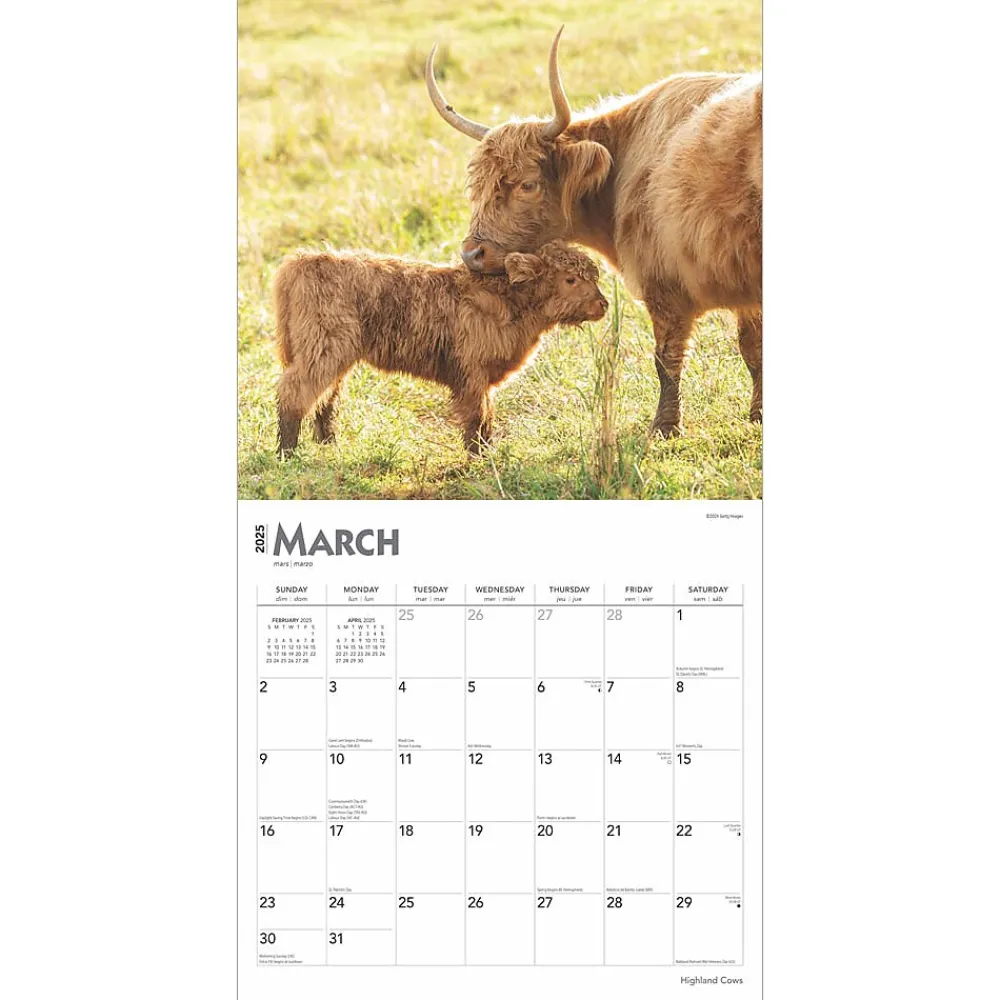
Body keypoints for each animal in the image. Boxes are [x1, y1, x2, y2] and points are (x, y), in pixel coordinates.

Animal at [426, 27, 762, 436]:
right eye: (478, 186)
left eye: (527, 185)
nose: (472, 254)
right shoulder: (745, 288)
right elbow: (755, 351)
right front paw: (759, 416)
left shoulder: (664, 284)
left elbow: (666, 360)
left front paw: (664, 428)